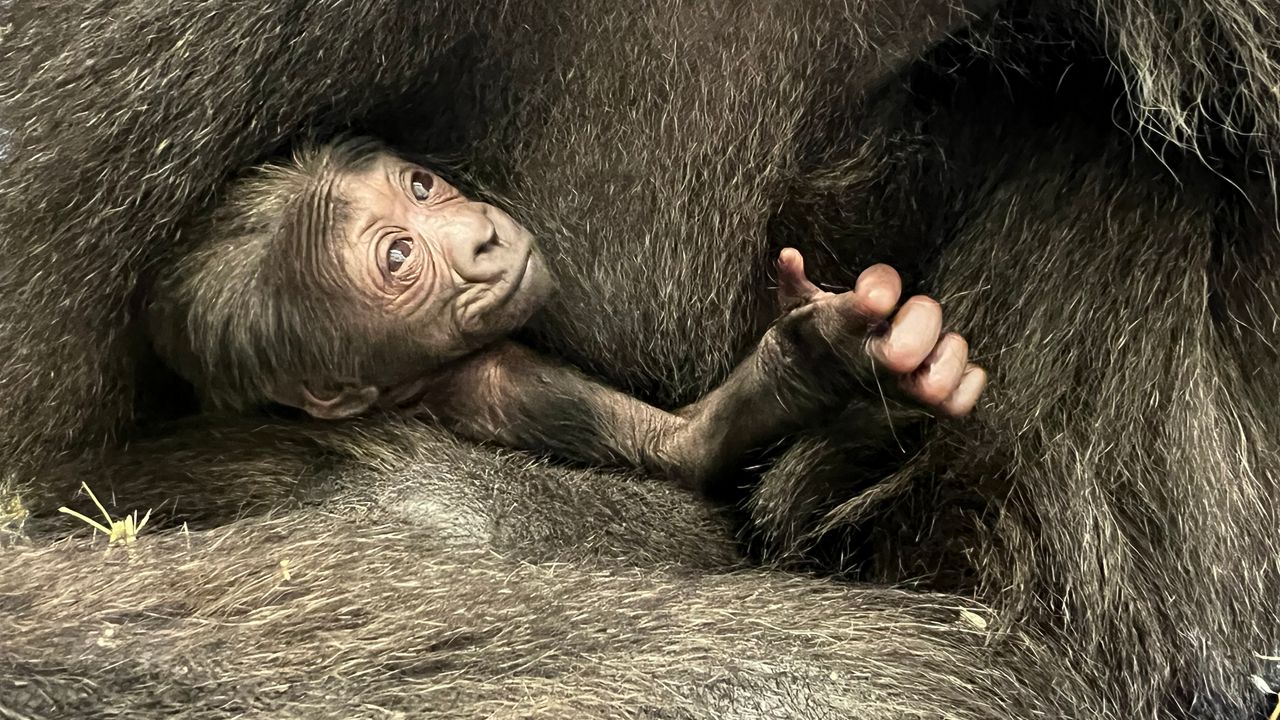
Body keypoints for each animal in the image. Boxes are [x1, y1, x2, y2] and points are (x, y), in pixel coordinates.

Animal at [152, 135, 988, 486]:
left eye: (421, 186)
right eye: (398, 259)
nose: (482, 239)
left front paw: (823, 353)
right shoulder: (489, 381)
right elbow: (683, 451)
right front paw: (821, 359)